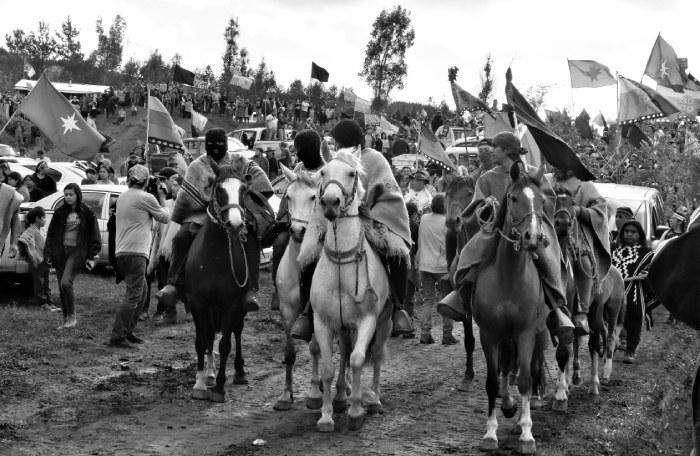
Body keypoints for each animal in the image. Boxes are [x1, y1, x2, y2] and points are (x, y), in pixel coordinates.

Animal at [186, 164, 252, 402]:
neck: (214, 256)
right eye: (219, 189)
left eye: (244, 189)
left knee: (237, 331)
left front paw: (220, 388)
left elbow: (225, 345)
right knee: (208, 337)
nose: (235, 224)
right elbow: (201, 341)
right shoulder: (198, 304)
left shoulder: (231, 304)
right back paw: (209, 374)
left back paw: (238, 372)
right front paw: (199, 384)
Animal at [314, 149, 392, 432]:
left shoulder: (367, 320)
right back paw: (339, 397)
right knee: (346, 352)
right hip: (345, 328)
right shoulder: (323, 322)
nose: (330, 203)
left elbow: (359, 359)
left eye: (351, 173)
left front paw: (356, 411)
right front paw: (326, 416)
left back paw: (375, 399)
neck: (341, 264)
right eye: (323, 171)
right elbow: (328, 367)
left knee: (376, 355)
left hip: (385, 322)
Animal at [476, 163, 552, 452]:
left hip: (538, 335)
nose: (533, 237)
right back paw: (508, 406)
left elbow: (526, 380)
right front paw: (490, 433)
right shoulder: (488, 334)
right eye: (514, 198)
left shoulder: (526, 333)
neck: (508, 277)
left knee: (529, 369)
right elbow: (492, 381)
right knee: (506, 368)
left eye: (542, 201)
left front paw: (527, 435)